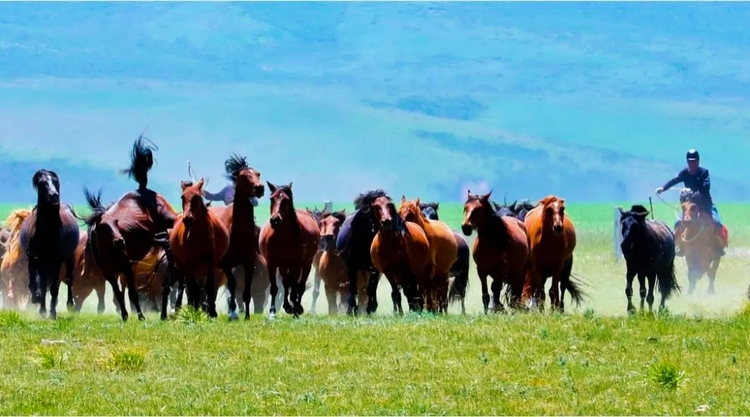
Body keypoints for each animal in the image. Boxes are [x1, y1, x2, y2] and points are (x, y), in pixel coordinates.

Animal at [19, 169, 80, 318]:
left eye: (55, 181)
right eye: (42, 183)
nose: (54, 196)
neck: (46, 232)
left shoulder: (56, 260)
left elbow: (53, 287)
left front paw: (52, 313)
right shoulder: (36, 259)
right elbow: (38, 285)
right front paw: (41, 307)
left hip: (69, 258)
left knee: (68, 279)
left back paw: (69, 304)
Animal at [82, 135, 181, 320]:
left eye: (117, 223)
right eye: (103, 227)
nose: (120, 242)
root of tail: (143, 189)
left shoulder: (126, 267)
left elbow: (132, 293)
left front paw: (141, 316)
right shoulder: (109, 273)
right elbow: (119, 294)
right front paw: (125, 316)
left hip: (169, 219)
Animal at [170, 177, 231, 316]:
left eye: (197, 197)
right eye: (182, 197)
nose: (187, 219)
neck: (197, 236)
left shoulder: (210, 262)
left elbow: (209, 287)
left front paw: (211, 312)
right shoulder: (188, 264)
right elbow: (193, 289)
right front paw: (194, 311)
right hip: (182, 266)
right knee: (184, 287)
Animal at [209, 154, 268, 320]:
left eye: (258, 173)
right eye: (243, 176)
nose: (259, 188)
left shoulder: (249, 262)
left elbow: (247, 291)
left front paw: (247, 316)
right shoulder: (226, 264)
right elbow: (232, 286)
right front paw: (233, 313)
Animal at [260, 180, 318, 316]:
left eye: (286, 200)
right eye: (272, 198)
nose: (275, 220)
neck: (283, 237)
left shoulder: (295, 265)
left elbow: (295, 288)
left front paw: (295, 309)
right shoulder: (272, 264)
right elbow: (275, 288)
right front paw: (272, 311)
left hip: (306, 264)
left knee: (299, 286)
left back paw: (297, 307)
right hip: (283, 266)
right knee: (287, 284)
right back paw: (288, 306)